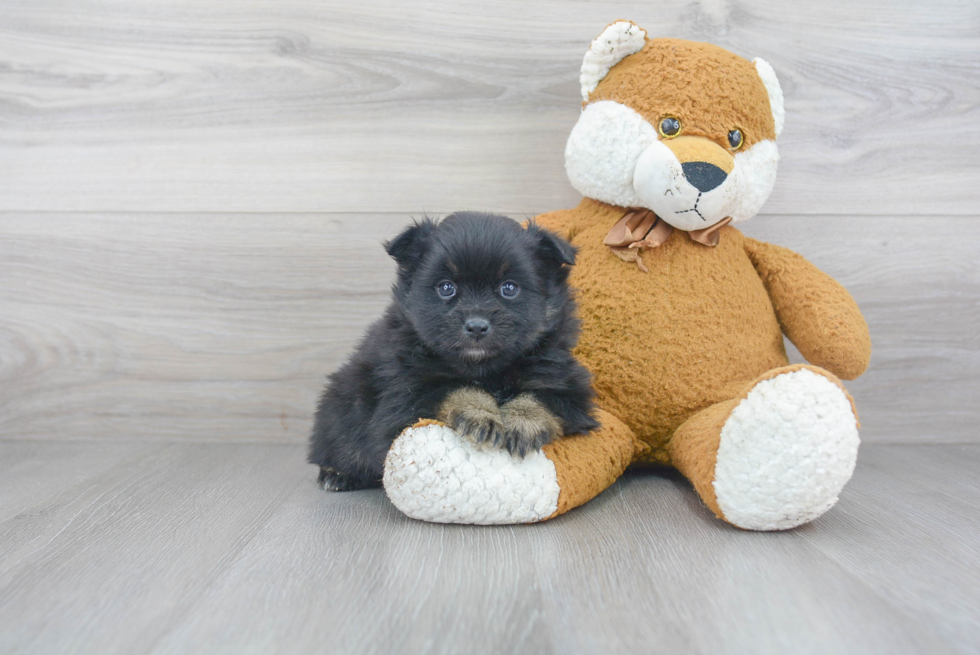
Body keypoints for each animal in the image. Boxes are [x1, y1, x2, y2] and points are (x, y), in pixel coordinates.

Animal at [306, 214, 596, 492]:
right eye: (446, 288)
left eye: (509, 288)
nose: (477, 326)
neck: (485, 368)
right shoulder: (405, 394)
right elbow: (454, 387)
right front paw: (481, 414)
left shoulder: (568, 387)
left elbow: (542, 397)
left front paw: (523, 423)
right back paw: (337, 475)